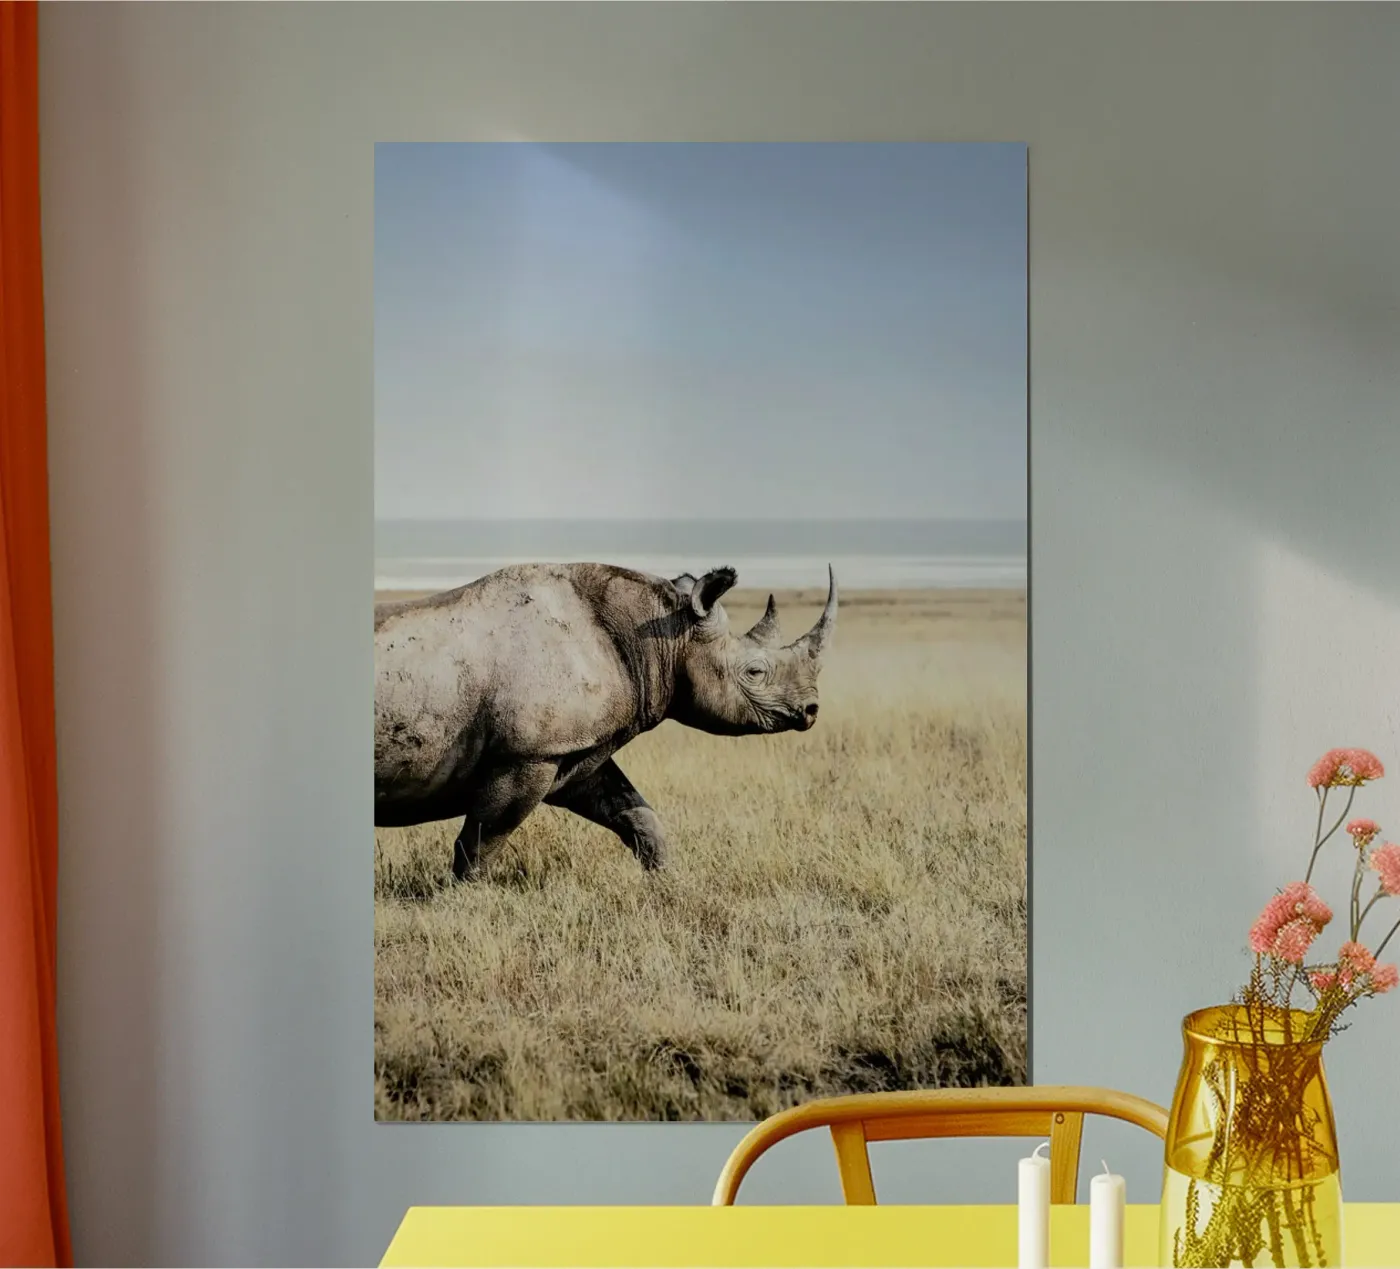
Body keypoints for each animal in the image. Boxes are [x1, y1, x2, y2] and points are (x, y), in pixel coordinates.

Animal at [374, 562, 836, 879]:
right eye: (755, 672)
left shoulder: (574, 750)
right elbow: (483, 840)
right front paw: (463, 900)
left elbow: (635, 813)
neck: (661, 637)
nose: (812, 710)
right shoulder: (528, 754)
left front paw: (667, 882)